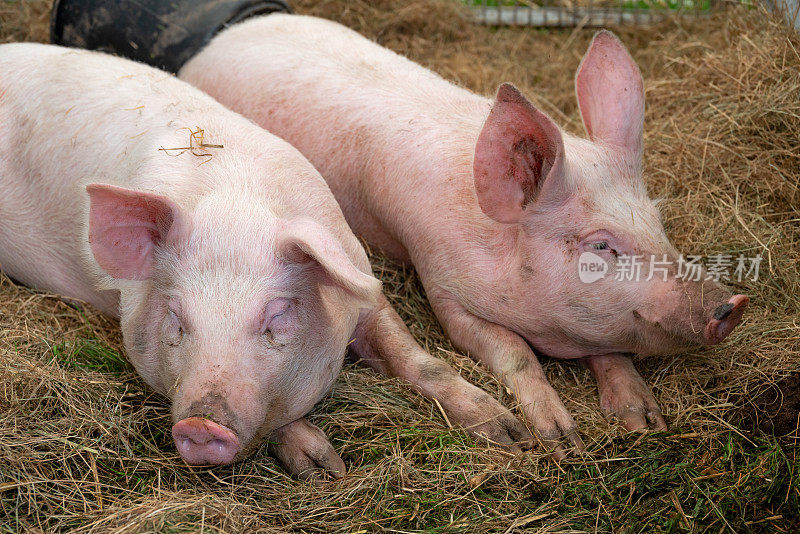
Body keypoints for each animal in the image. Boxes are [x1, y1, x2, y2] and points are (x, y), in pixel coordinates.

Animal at [180, 14, 752, 458]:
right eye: (600, 245)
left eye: (657, 219)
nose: (732, 304)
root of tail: (221, 39)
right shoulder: (444, 291)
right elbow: (511, 350)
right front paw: (557, 440)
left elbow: (610, 349)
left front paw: (644, 422)